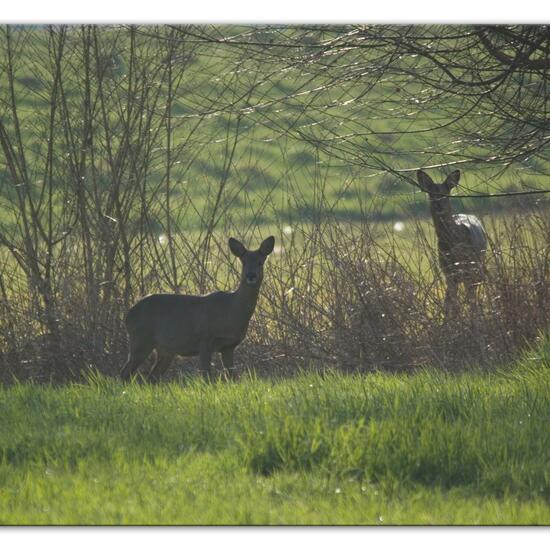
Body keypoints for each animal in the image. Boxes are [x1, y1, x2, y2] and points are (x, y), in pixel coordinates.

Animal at [121, 236, 276, 384]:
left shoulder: (228, 346)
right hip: (141, 340)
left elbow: (232, 377)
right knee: (124, 373)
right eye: (243, 263)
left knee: (151, 378)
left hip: (165, 350)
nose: (251, 276)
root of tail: (127, 315)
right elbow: (206, 376)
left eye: (260, 262)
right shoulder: (205, 339)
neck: (231, 309)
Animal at [416, 170, 490, 322]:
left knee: (473, 294)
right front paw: (449, 323)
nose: (439, 206)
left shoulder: (468, 269)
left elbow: (467, 300)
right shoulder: (448, 273)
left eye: (445, 193)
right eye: (431, 194)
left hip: (477, 265)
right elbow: (449, 302)